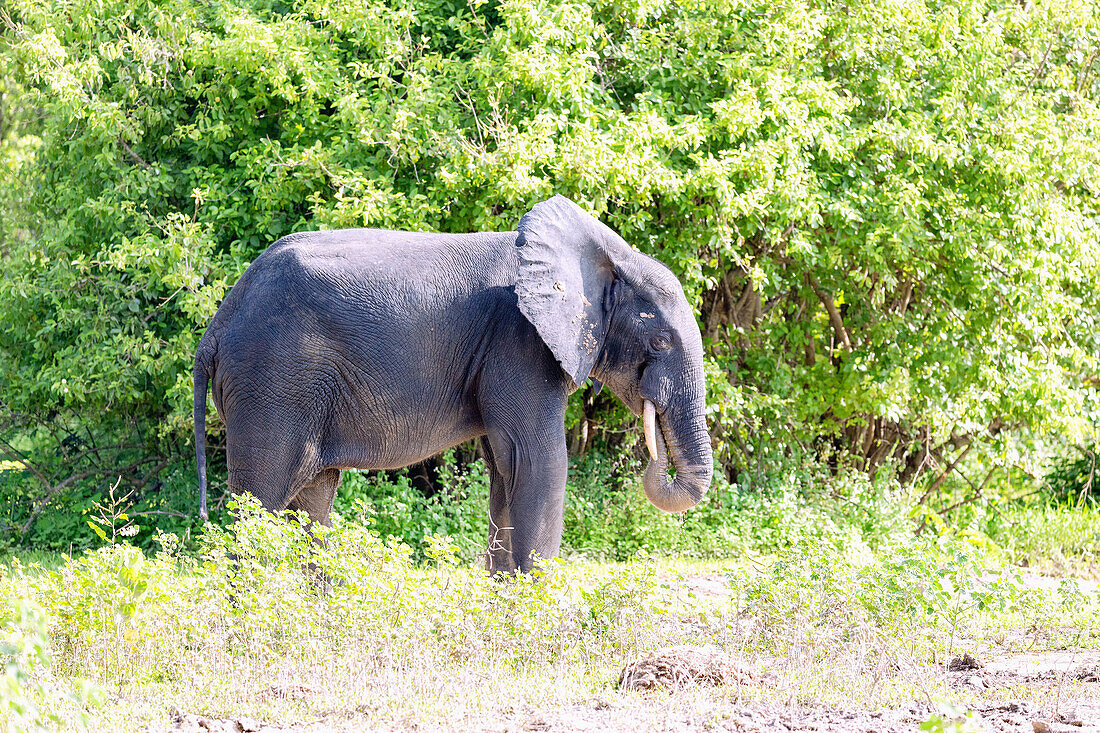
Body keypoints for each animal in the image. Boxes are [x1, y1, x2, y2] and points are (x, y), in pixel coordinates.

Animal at [194, 193, 712, 572]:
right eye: (661, 341)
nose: (654, 461)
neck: (610, 257)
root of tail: (217, 325)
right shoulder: (519, 341)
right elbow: (540, 462)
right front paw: (537, 610)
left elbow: (507, 468)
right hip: (273, 377)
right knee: (260, 501)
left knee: (312, 498)